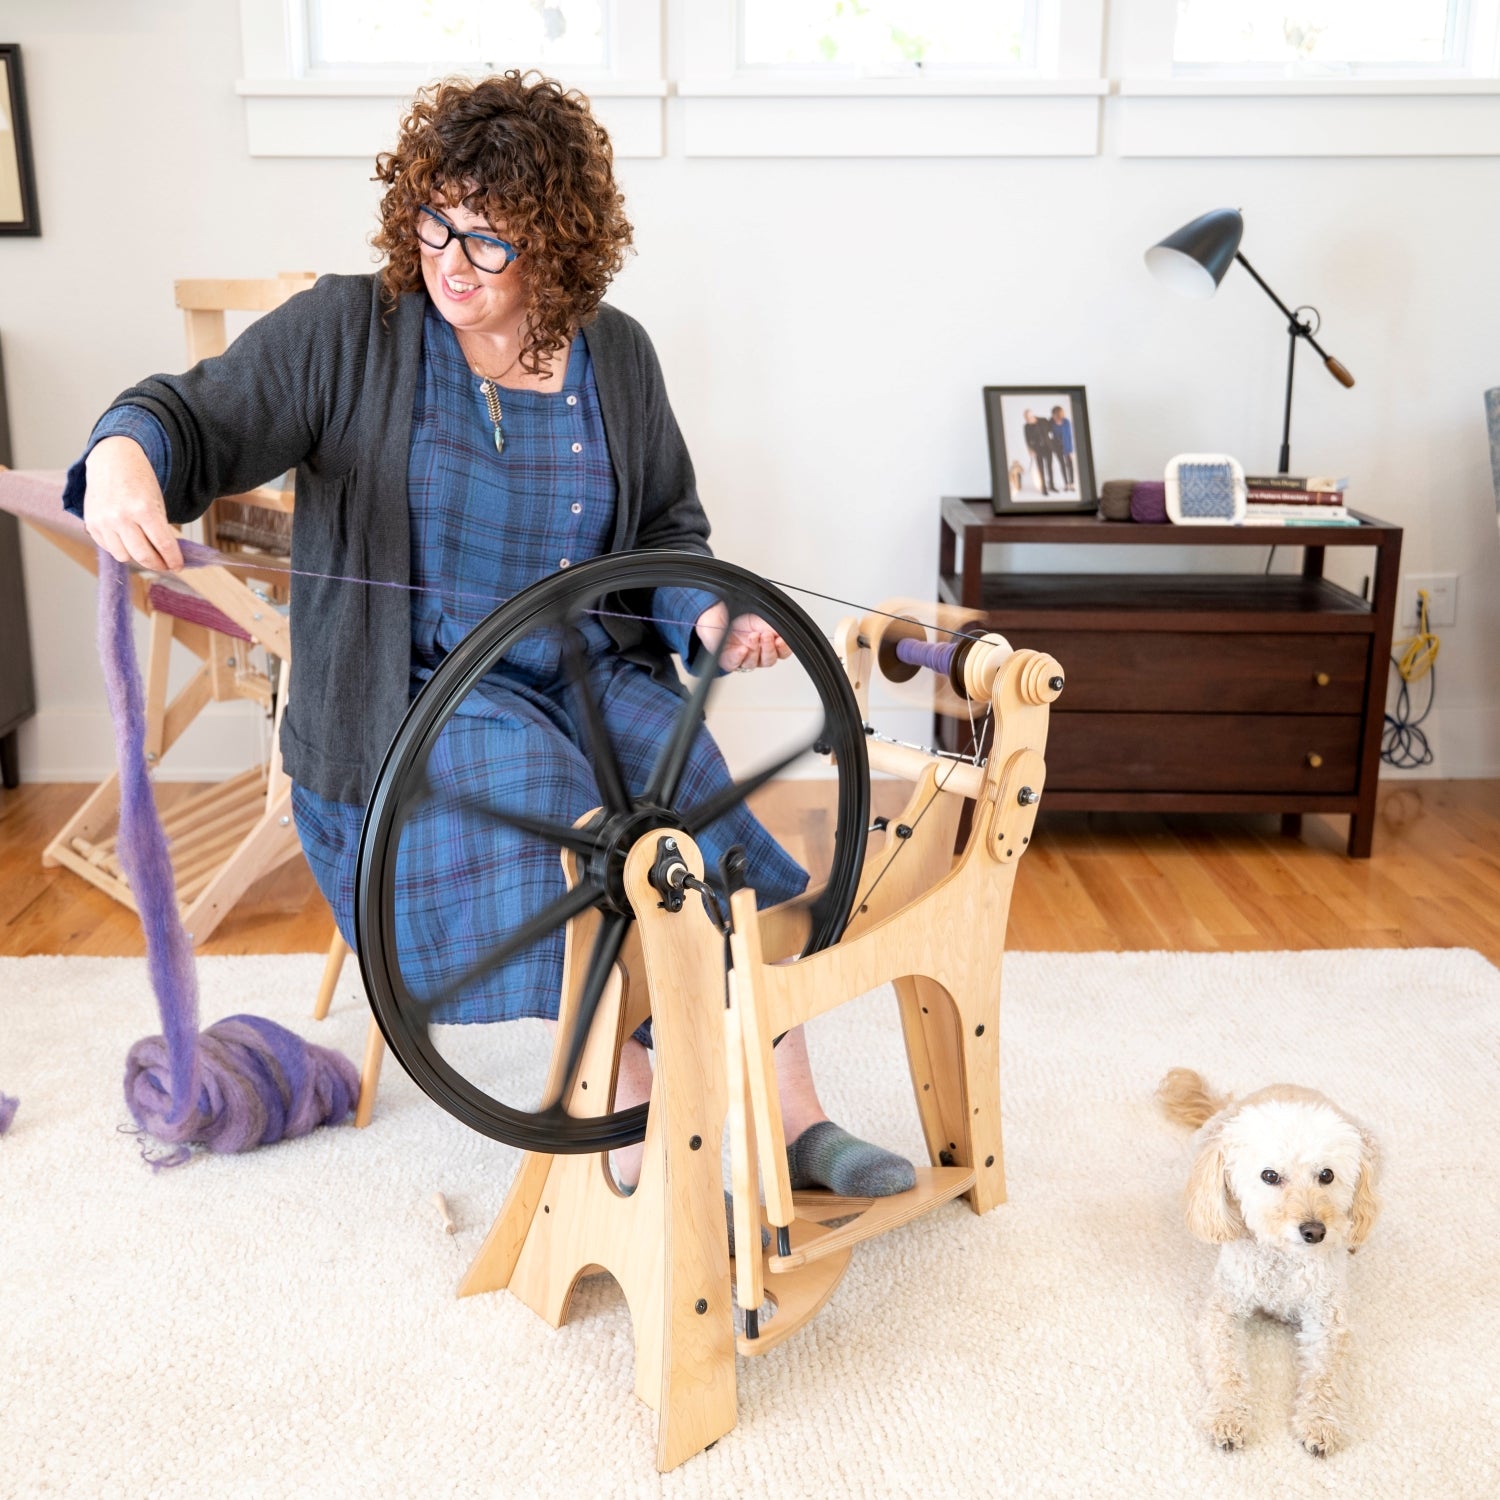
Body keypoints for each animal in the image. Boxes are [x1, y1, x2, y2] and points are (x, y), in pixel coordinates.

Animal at [1158, 1068, 1380, 1452]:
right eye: (1270, 1176)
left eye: (1326, 1175)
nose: (1314, 1231)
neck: (1283, 1259)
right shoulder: (1224, 1311)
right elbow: (1228, 1368)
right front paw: (1228, 1416)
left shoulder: (1327, 1319)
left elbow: (1324, 1376)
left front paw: (1319, 1422)